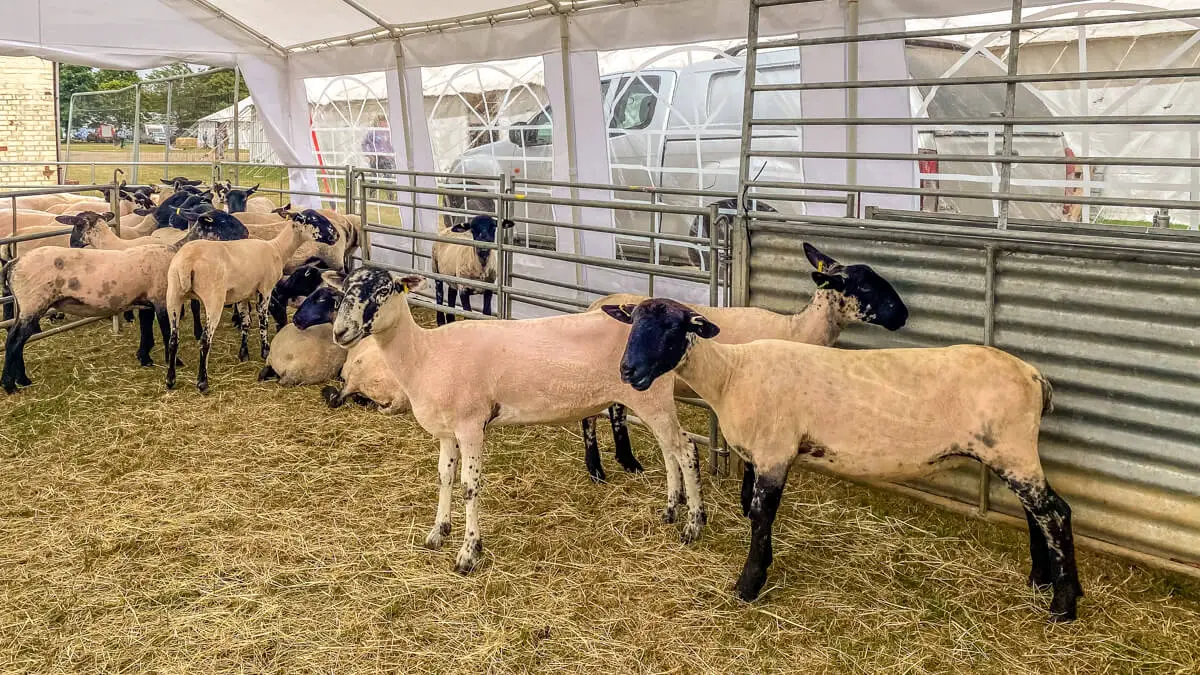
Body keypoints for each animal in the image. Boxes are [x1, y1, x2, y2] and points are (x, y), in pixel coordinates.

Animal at [0, 210, 248, 389]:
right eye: (223, 220)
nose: (246, 233)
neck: (174, 252)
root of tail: (13, 264)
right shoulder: (161, 300)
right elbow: (166, 333)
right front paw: (174, 361)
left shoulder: (146, 302)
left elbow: (146, 331)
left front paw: (145, 358)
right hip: (34, 303)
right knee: (14, 340)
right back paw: (11, 384)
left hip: (27, 306)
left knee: (18, 339)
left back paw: (21, 380)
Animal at [164, 207, 343, 391]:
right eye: (314, 219)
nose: (336, 235)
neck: (277, 249)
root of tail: (187, 263)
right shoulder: (265, 289)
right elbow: (263, 322)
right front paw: (265, 351)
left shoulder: (242, 294)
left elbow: (246, 323)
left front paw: (244, 354)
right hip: (213, 298)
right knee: (205, 340)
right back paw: (202, 382)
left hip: (173, 295)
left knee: (173, 339)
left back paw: (170, 380)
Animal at [328, 267, 700, 571]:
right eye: (343, 289)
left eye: (384, 290)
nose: (340, 332)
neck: (425, 354)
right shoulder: (447, 431)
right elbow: (444, 478)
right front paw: (438, 532)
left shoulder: (471, 425)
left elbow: (469, 486)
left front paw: (469, 553)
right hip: (650, 399)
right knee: (669, 450)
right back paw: (671, 510)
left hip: (652, 396)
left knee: (686, 450)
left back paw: (693, 523)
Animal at [580, 243, 907, 480]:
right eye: (865, 286)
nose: (903, 314)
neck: (796, 330)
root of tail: (596, 304)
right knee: (590, 416)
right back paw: (597, 470)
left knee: (616, 410)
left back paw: (628, 462)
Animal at [604, 296, 1084, 624]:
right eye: (633, 326)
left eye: (673, 328)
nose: (628, 372)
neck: (730, 375)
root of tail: (1035, 377)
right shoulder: (765, 455)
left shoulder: (775, 452)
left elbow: (760, 517)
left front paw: (749, 583)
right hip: (1010, 451)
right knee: (1037, 513)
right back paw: (1040, 578)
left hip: (1012, 448)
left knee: (1056, 513)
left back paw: (1064, 603)